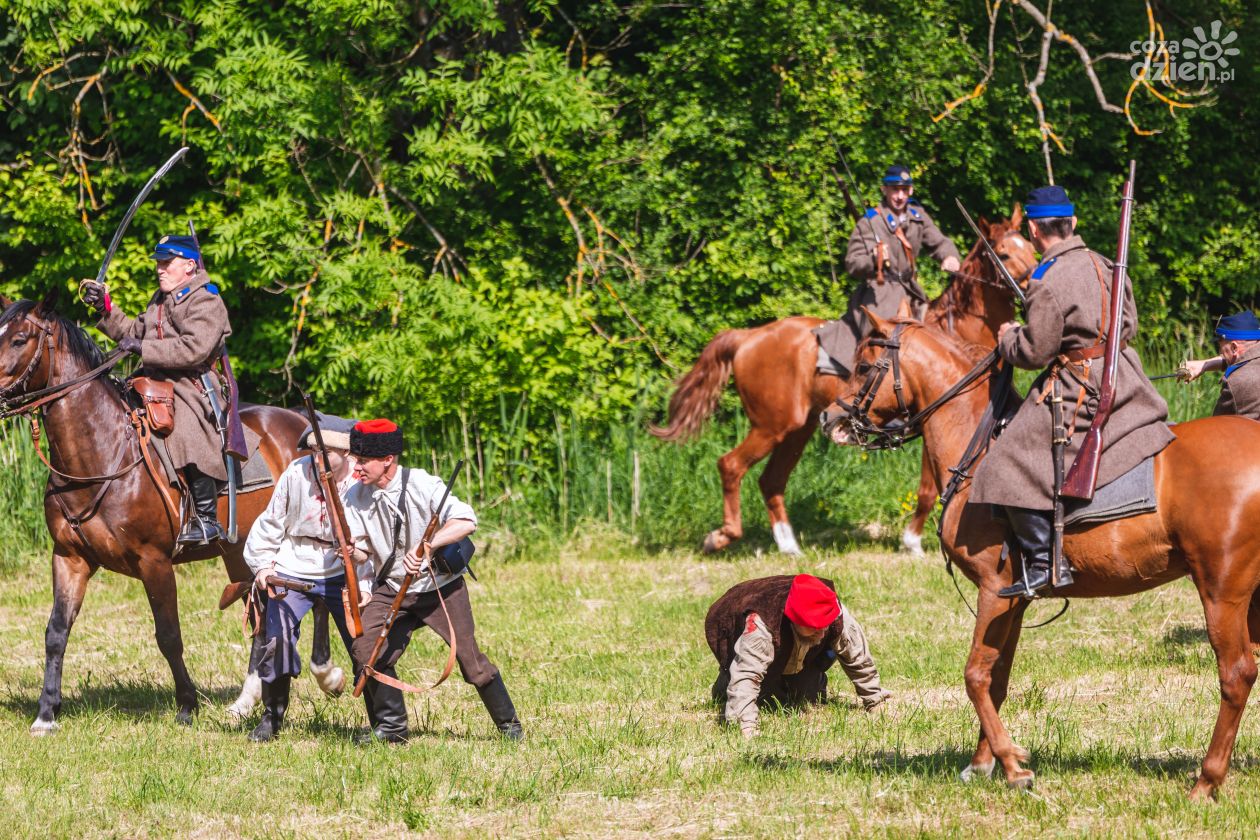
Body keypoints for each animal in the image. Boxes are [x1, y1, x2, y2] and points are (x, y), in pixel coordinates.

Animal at [0, 298, 330, 730]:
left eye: (19, 338)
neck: (101, 452)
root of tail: (300, 423)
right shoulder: (69, 558)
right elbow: (56, 631)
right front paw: (45, 713)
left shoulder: (154, 562)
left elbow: (169, 635)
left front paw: (187, 705)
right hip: (241, 554)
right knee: (261, 616)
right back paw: (245, 701)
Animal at [650, 207, 1033, 554]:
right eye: (1002, 253)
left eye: (1028, 244)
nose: (1032, 285)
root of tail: (748, 336)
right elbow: (927, 488)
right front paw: (912, 542)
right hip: (771, 426)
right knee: (731, 465)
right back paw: (723, 536)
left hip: (797, 430)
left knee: (771, 480)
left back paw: (789, 546)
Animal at [831, 312, 1260, 800]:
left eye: (865, 366)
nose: (833, 419)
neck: (978, 446)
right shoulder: (1014, 601)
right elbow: (997, 677)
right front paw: (985, 763)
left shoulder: (994, 590)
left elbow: (975, 675)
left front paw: (1011, 766)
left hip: (1222, 592)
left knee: (1236, 674)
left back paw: (1206, 781)